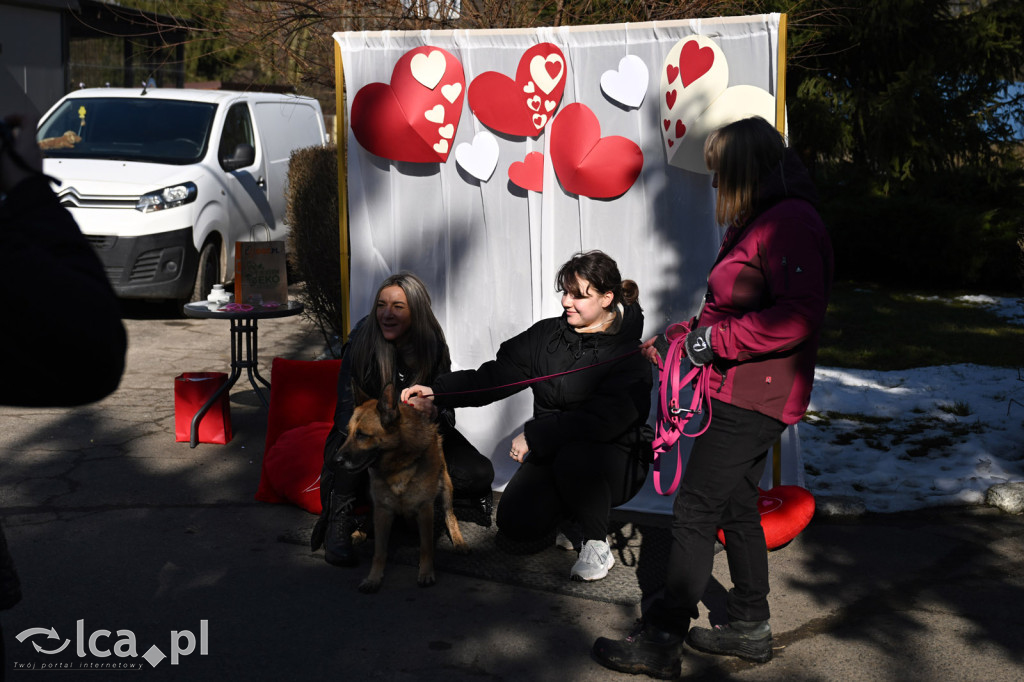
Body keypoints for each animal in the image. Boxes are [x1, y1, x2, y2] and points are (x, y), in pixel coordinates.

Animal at [335, 387, 468, 589]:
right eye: (348, 433)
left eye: (362, 435)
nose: (336, 460)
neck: (397, 465)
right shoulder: (383, 510)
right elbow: (379, 551)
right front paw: (374, 578)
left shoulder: (425, 509)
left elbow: (426, 547)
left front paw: (426, 573)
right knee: (370, 514)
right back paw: (362, 531)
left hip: (445, 486)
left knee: (450, 515)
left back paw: (458, 540)